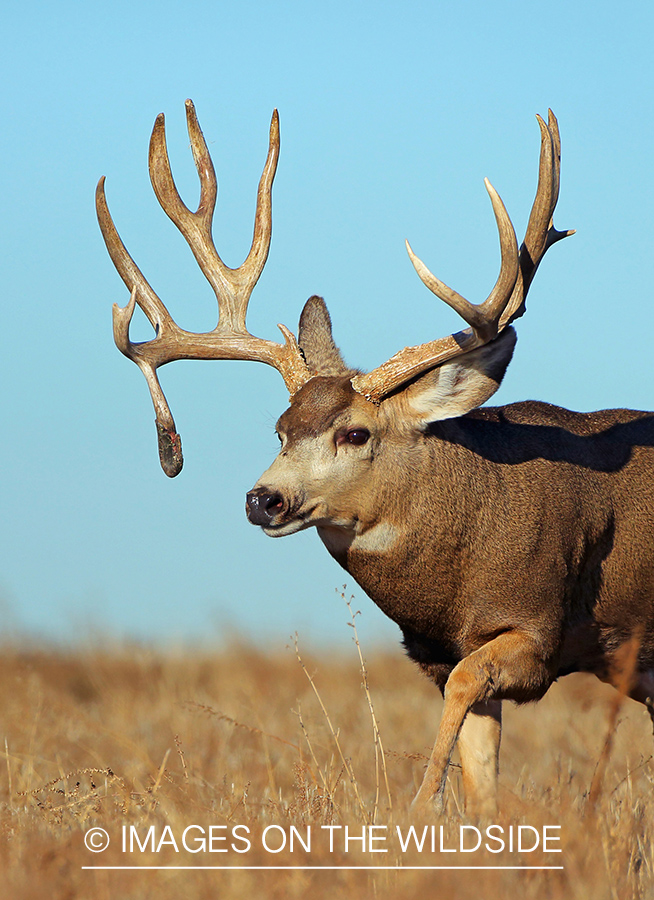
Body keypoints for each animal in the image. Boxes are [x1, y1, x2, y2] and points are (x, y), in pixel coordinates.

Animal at [97, 101, 654, 816]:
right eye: (279, 429)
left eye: (356, 433)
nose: (263, 499)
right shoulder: (441, 649)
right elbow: (481, 768)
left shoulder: (538, 623)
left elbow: (468, 688)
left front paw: (419, 805)